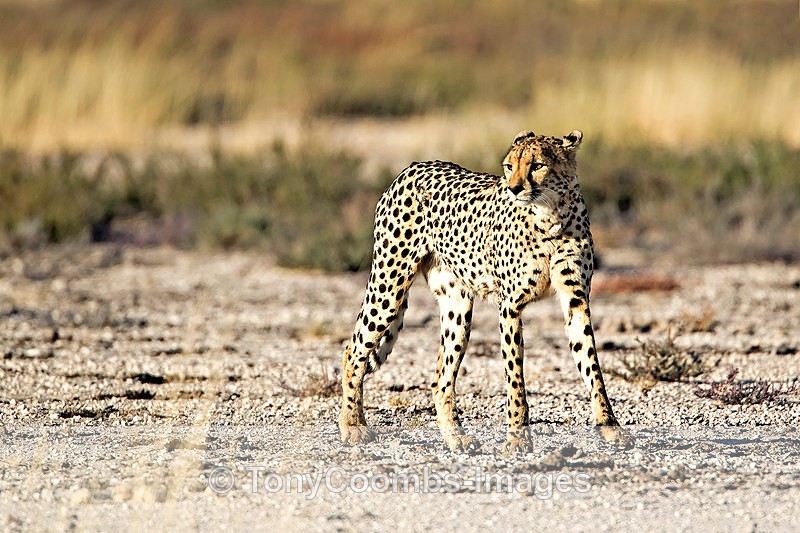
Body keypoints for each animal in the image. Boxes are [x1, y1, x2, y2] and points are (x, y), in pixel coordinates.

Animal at [339, 129, 619, 453]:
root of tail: (413, 166)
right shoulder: (510, 305)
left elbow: (591, 363)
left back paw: (455, 437)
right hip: (389, 284)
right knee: (353, 350)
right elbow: (515, 377)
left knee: (441, 378)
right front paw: (518, 437)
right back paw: (352, 425)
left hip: (456, 305)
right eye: (509, 166)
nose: (514, 188)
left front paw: (609, 425)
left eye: (537, 165)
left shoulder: (576, 298)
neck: (551, 217)